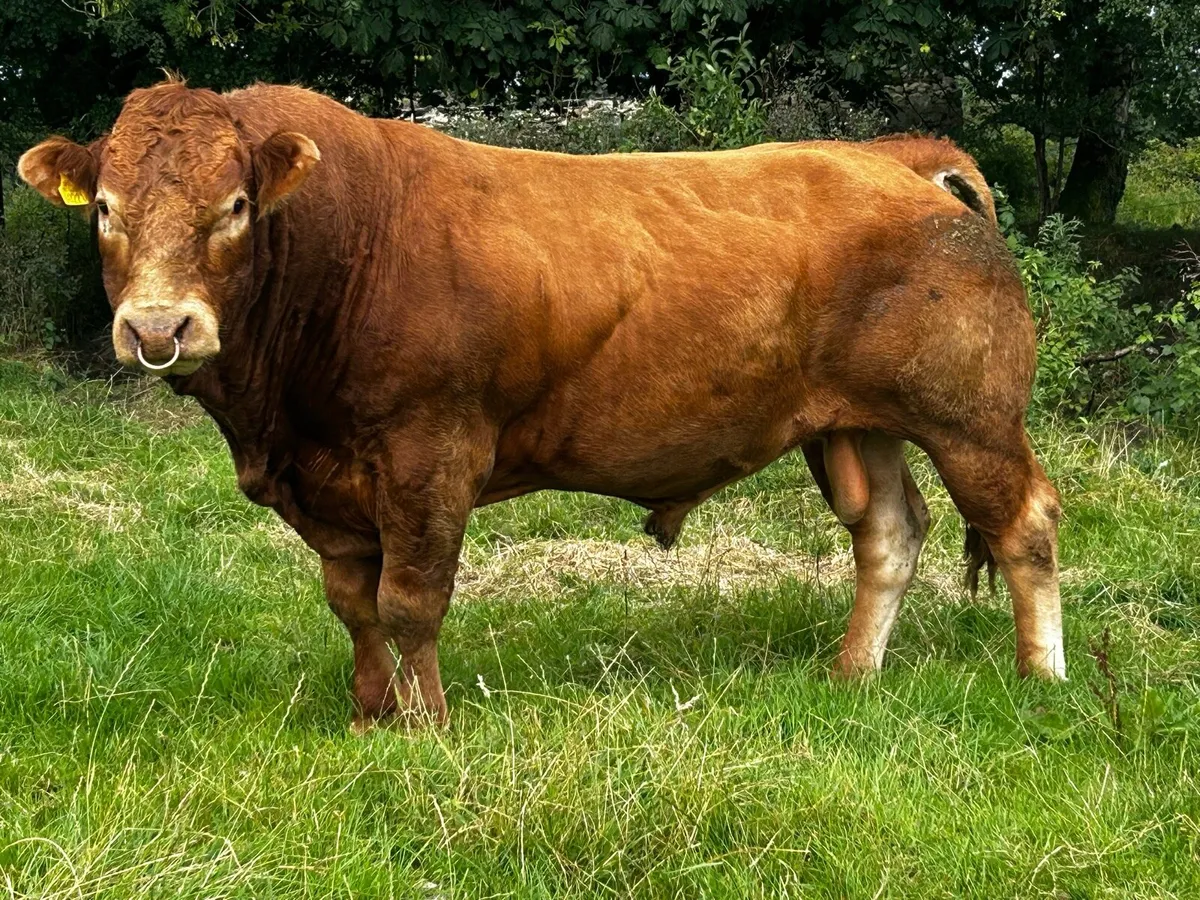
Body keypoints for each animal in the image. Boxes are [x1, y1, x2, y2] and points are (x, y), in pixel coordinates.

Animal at [18, 79, 1064, 730]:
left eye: (234, 206)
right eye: (104, 208)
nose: (159, 327)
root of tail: (894, 155)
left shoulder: (429, 453)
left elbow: (409, 602)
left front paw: (426, 729)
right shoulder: (330, 483)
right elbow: (353, 604)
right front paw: (367, 717)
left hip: (970, 419)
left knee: (1025, 524)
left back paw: (1043, 679)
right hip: (860, 423)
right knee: (889, 533)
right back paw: (851, 676)